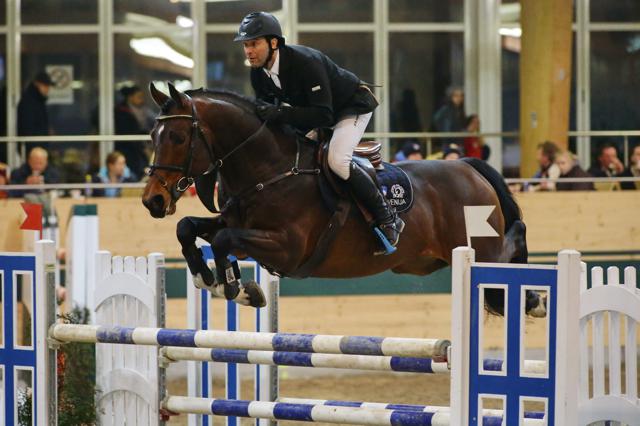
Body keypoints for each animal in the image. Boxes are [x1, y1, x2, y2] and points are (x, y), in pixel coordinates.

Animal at [142, 82, 544, 316]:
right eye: (152, 135)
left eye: (178, 137)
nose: (152, 201)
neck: (269, 170)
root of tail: (467, 166)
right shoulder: (238, 227)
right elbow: (189, 228)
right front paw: (206, 278)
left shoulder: (286, 247)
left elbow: (223, 240)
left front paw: (239, 290)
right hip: (425, 261)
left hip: (480, 249)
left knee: (512, 245)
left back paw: (535, 299)